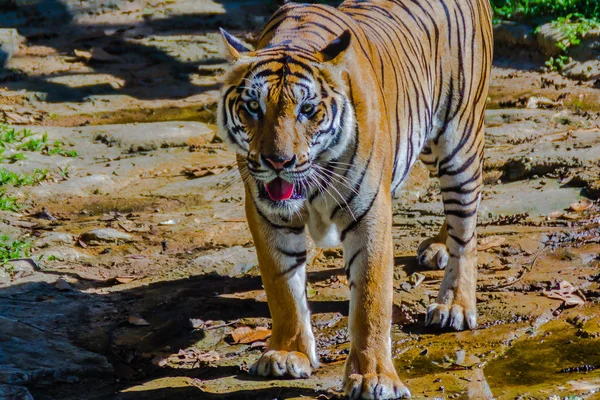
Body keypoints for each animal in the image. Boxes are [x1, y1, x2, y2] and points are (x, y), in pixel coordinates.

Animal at [216, 0, 492, 396]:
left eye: (306, 110)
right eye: (253, 107)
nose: (277, 162)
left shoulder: (369, 211)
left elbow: (370, 301)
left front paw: (375, 377)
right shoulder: (267, 213)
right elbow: (282, 287)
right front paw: (287, 354)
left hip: (458, 141)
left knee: (465, 224)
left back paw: (454, 304)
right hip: (426, 146)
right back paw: (439, 245)